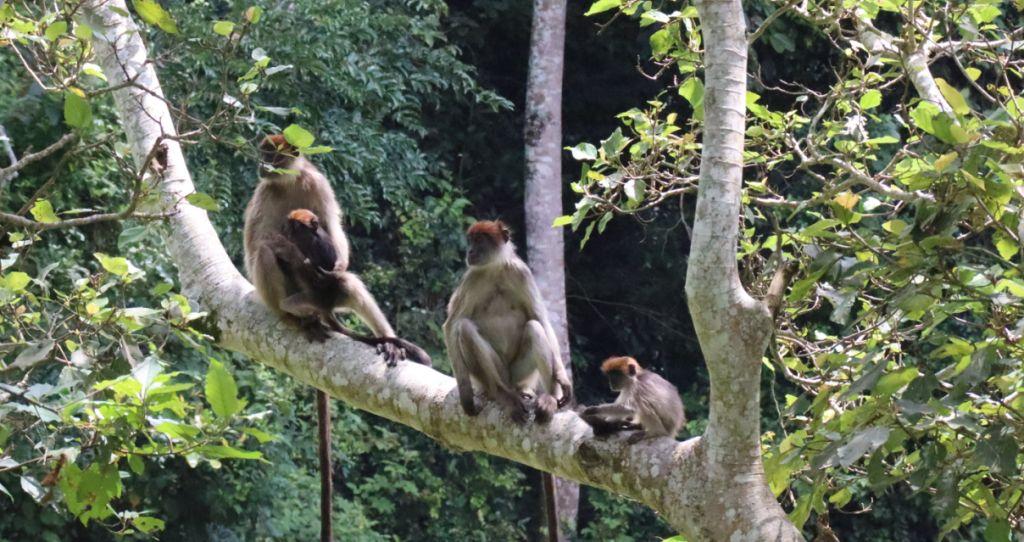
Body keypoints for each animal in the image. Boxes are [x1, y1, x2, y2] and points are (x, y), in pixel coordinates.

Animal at [270, 209, 430, 364]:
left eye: (295, 226)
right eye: (289, 224)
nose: (286, 229)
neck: (307, 241)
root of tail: (325, 308)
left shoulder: (319, 246)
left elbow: (318, 274)